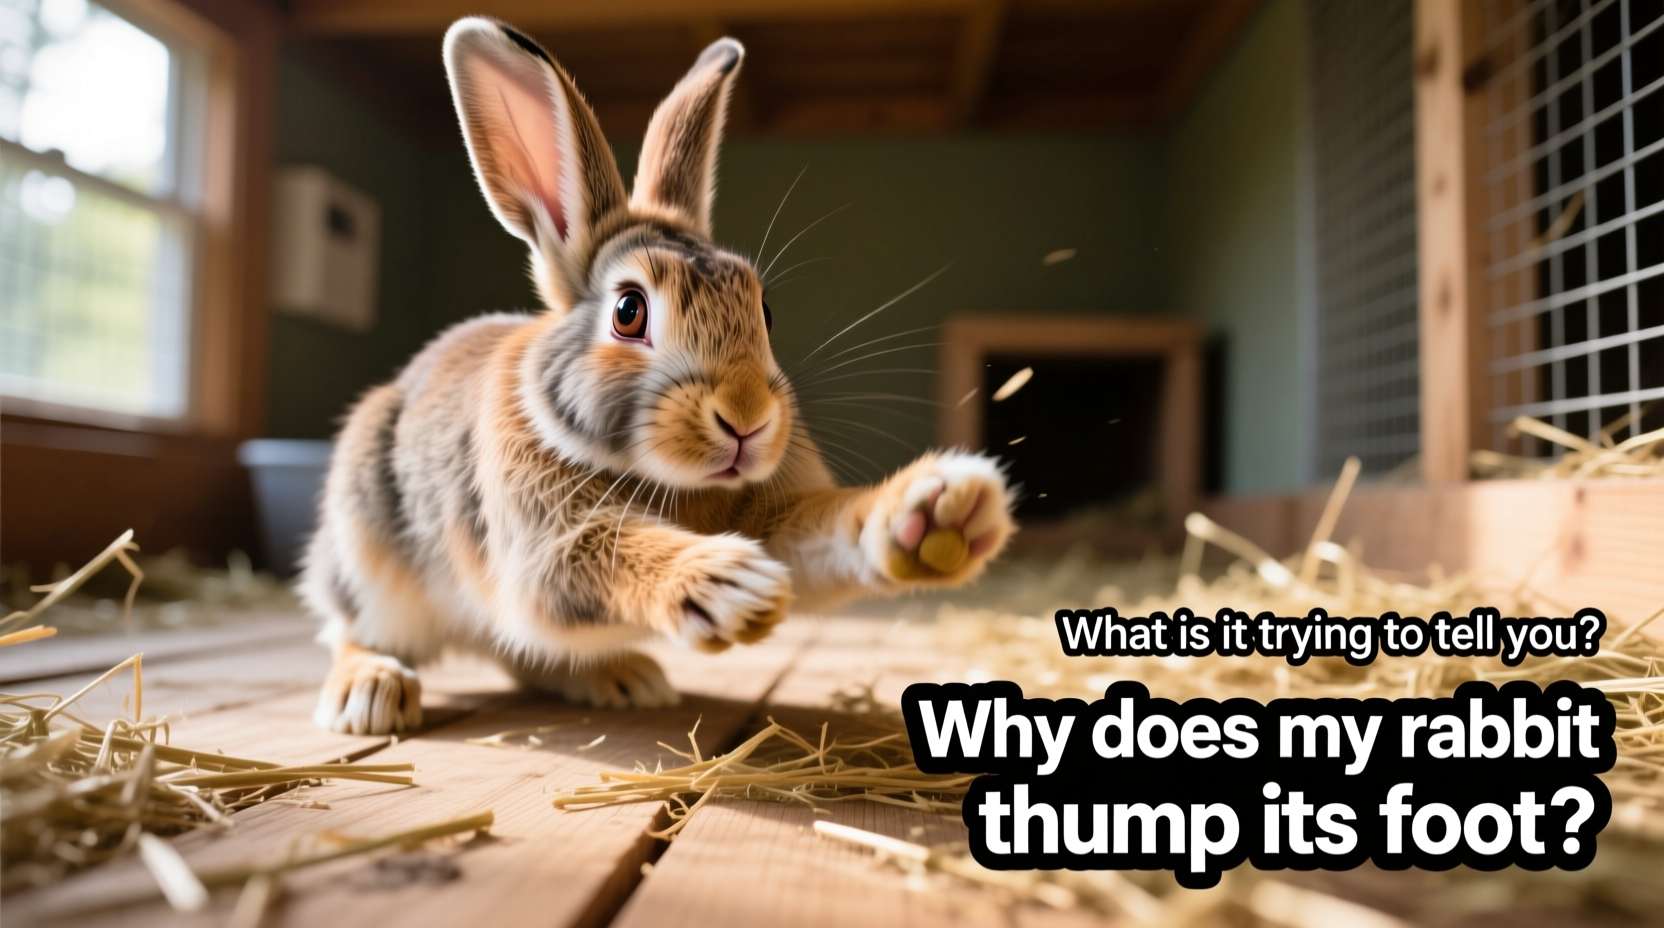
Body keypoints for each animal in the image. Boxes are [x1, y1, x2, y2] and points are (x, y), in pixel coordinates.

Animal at [301, 16, 1016, 736]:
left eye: (764, 310)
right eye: (628, 312)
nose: (746, 420)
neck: (670, 481)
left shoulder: (768, 513)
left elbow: (823, 530)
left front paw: (939, 514)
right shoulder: (541, 542)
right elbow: (606, 554)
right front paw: (725, 584)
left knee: (525, 656)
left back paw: (622, 678)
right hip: (367, 553)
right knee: (350, 630)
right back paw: (371, 693)